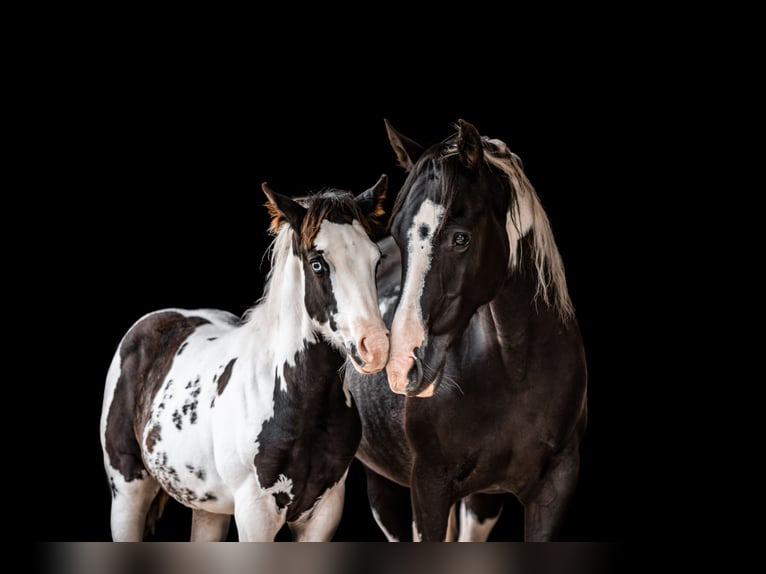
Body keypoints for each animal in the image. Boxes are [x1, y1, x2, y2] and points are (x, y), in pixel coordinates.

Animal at [100, 175, 390, 541]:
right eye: (318, 263)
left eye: (376, 260)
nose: (375, 347)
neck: (296, 400)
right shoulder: (256, 513)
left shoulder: (324, 512)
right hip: (127, 490)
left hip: (207, 508)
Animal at [345, 119, 588, 541]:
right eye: (398, 234)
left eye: (460, 237)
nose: (402, 367)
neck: (517, 373)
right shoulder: (428, 486)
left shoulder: (554, 488)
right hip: (382, 485)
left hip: (481, 500)